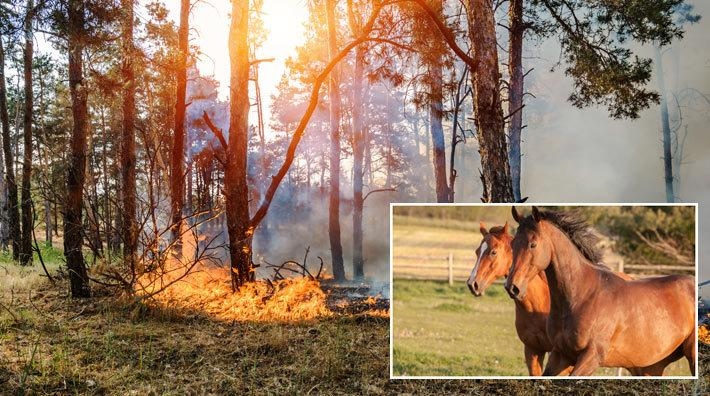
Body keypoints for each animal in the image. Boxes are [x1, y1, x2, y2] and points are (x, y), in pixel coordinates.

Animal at [508, 207, 700, 378]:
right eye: (512, 243)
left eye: (533, 244)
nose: (512, 287)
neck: (581, 297)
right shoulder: (561, 355)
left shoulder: (591, 356)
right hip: (651, 367)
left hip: (691, 356)